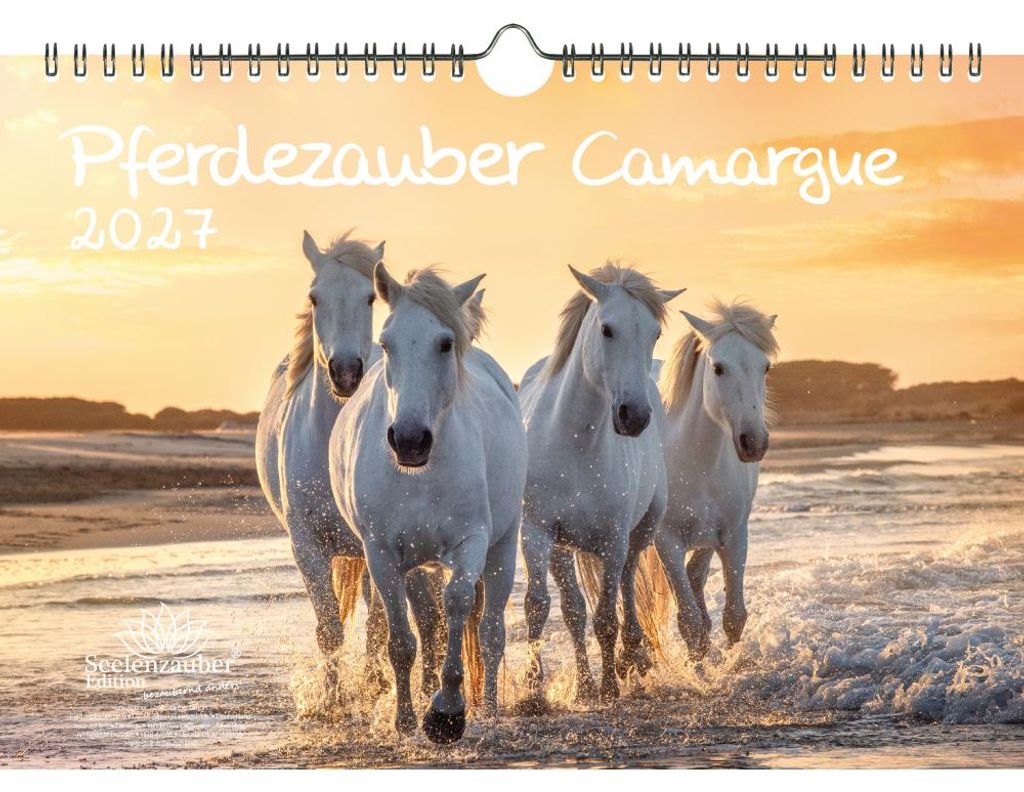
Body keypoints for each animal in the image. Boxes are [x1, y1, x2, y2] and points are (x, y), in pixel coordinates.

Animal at [255, 231, 450, 695]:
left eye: (369, 298)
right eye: (314, 297)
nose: (345, 372)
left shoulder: (378, 547)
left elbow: (380, 625)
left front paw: (374, 687)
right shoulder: (307, 548)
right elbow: (329, 629)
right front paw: (332, 698)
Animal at [329, 264, 527, 743]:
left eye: (445, 343)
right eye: (386, 343)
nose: (409, 440)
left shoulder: (471, 542)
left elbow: (457, 604)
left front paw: (447, 712)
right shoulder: (381, 553)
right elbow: (402, 639)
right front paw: (405, 721)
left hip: (503, 547)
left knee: (490, 632)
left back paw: (489, 708)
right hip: (418, 564)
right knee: (428, 627)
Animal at [517, 263, 684, 703]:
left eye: (654, 333)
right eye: (607, 329)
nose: (634, 416)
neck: (576, 441)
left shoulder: (612, 539)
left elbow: (607, 615)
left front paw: (610, 685)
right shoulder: (537, 532)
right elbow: (539, 607)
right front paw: (533, 693)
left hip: (639, 532)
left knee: (626, 584)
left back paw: (631, 657)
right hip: (563, 548)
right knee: (574, 609)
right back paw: (585, 684)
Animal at [639, 301, 778, 660]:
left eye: (765, 367)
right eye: (718, 368)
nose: (753, 442)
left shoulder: (733, 535)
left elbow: (734, 616)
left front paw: (733, 664)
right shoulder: (667, 542)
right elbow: (690, 624)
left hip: (706, 539)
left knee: (696, 577)